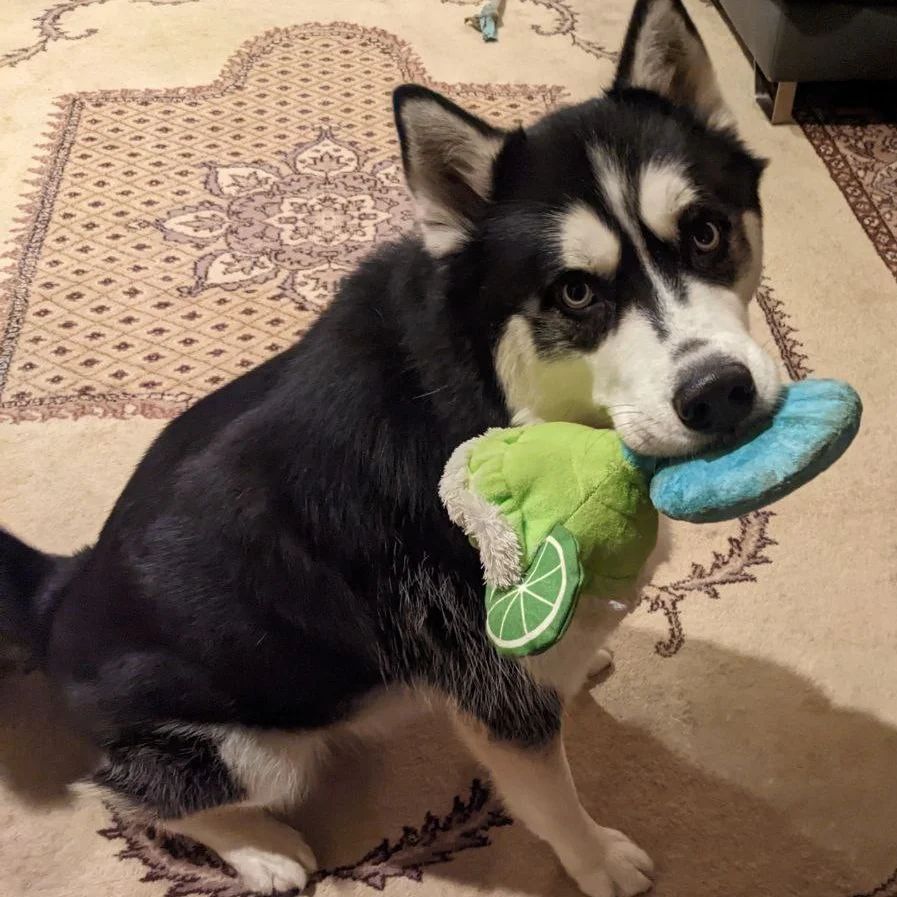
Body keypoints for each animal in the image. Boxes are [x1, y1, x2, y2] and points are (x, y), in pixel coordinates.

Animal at [0, 3, 776, 892]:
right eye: (576, 291)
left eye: (706, 232)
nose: (717, 391)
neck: (495, 392)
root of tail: (58, 591)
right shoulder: (495, 692)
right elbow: (548, 799)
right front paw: (597, 859)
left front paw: (585, 671)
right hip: (254, 747)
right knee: (130, 795)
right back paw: (260, 848)